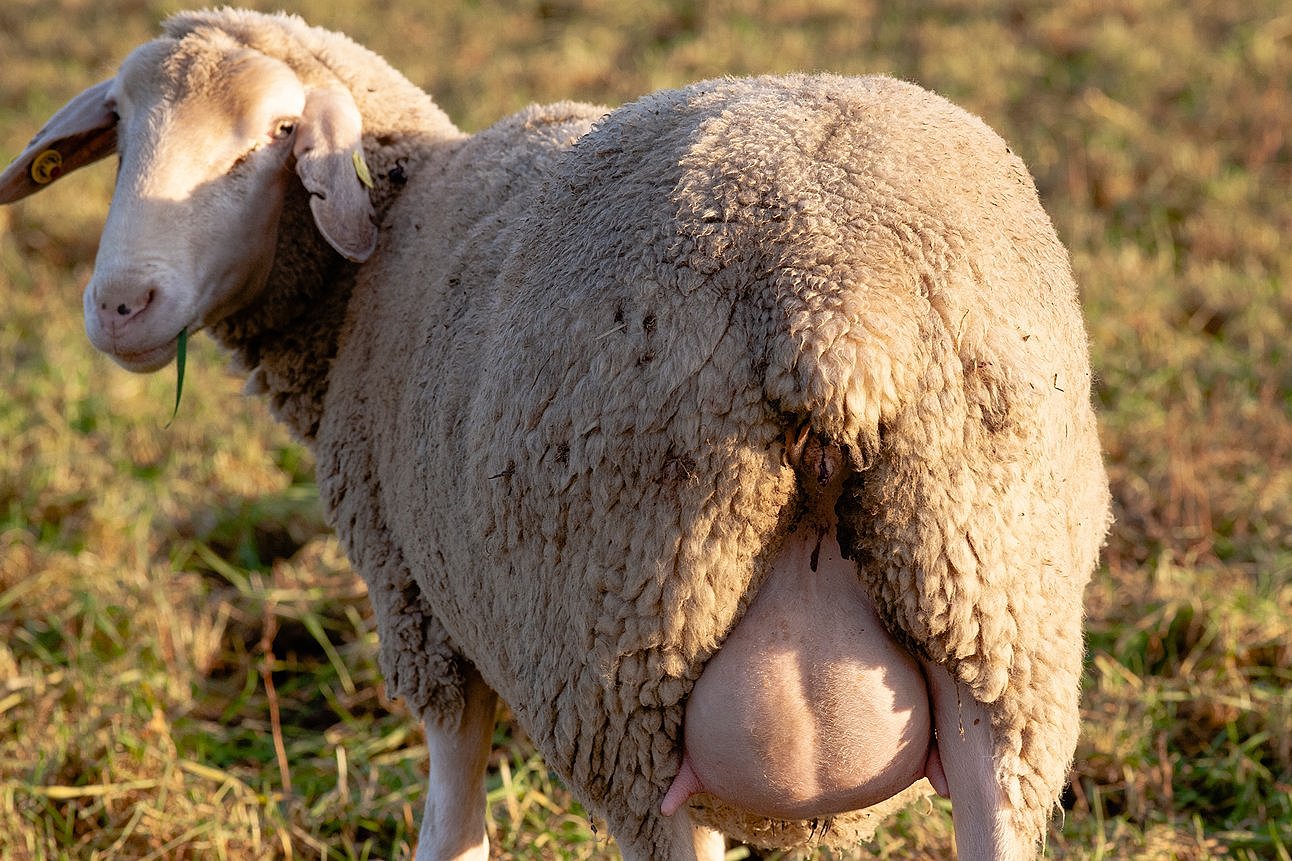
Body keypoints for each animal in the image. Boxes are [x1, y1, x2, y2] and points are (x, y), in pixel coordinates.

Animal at [0, 8, 1111, 858]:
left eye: (274, 132)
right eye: (121, 130)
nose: (121, 306)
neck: (380, 250)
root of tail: (841, 314)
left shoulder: (420, 605)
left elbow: (451, 824)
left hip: (623, 655)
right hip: (995, 613)